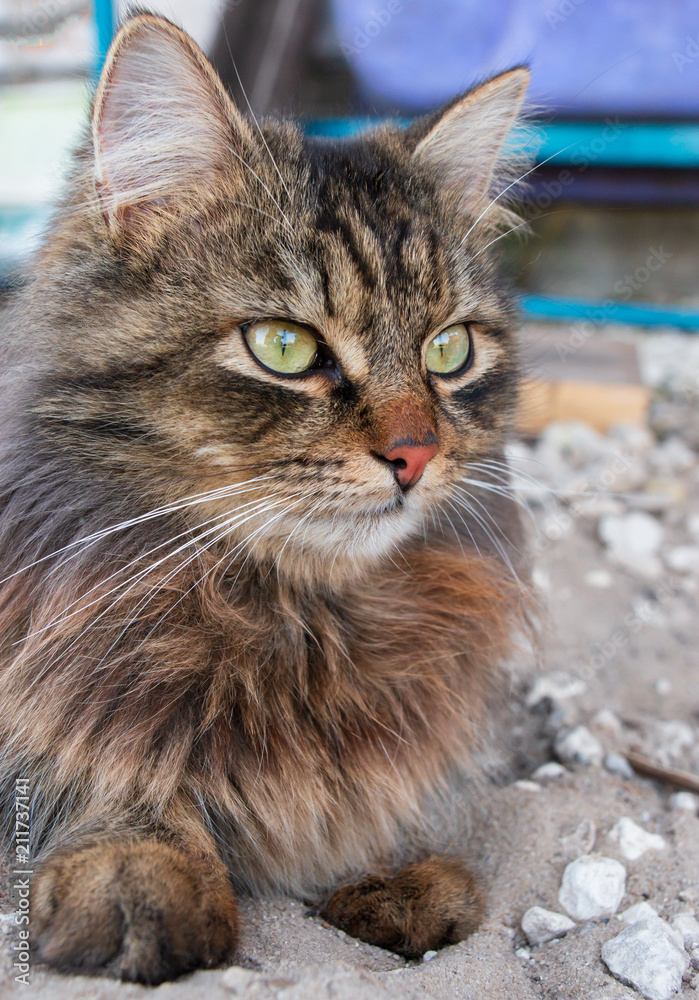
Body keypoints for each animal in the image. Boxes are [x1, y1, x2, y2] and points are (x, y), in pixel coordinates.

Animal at [0, 13, 532, 984]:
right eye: (283, 346)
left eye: (447, 351)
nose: (415, 454)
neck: (298, 617)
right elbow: (102, 761)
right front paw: (136, 864)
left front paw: (385, 871)